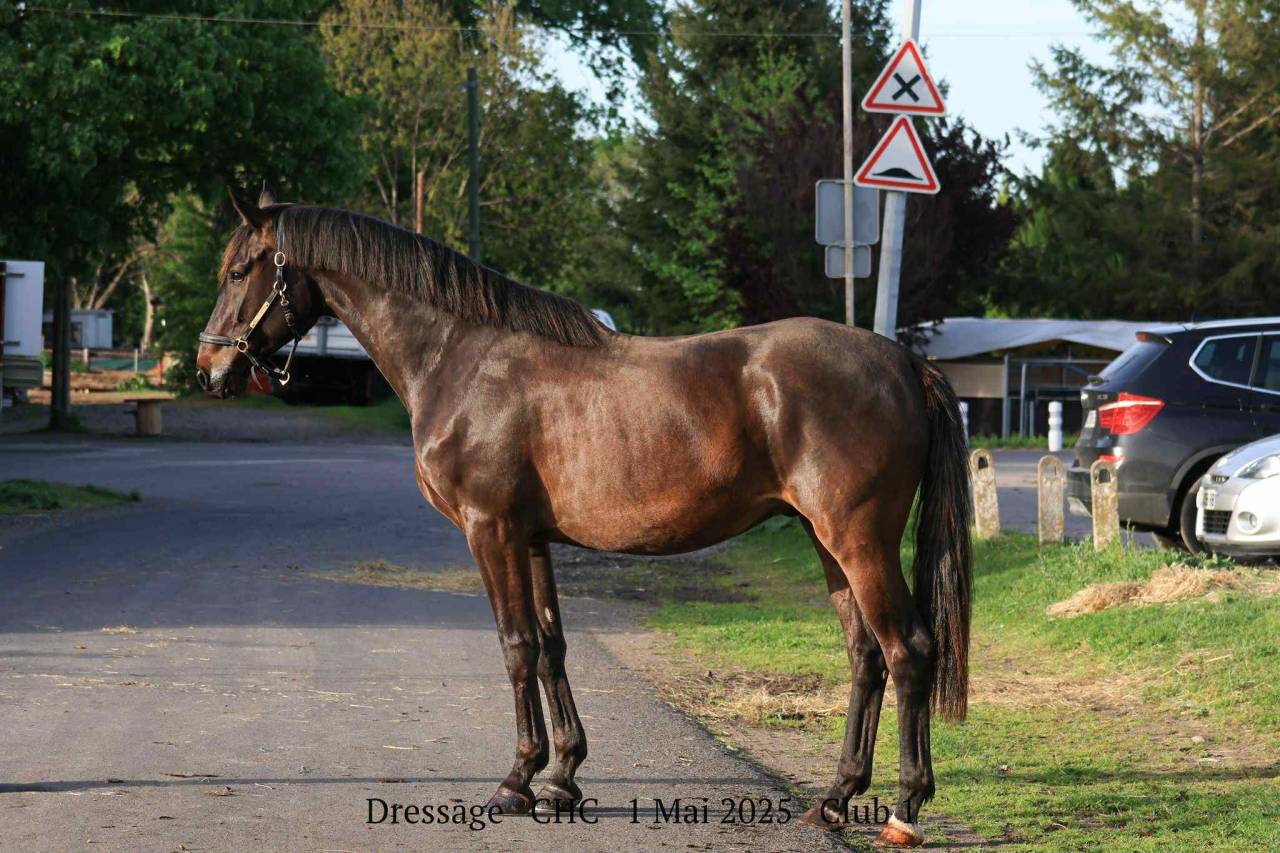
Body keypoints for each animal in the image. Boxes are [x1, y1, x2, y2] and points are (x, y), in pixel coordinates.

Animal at [196, 188, 972, 849]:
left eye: (238, 271)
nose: (208, 369)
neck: (462, 357)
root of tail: (903, 363)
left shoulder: (490, 530)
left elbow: (514, 647)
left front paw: (515, 782)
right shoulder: (532, 538)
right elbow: (550, 647)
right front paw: (562, 777)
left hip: (859, 540)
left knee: (908, 649)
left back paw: (905, 810)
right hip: (825, 541)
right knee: (865, 654)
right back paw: (837, 797)